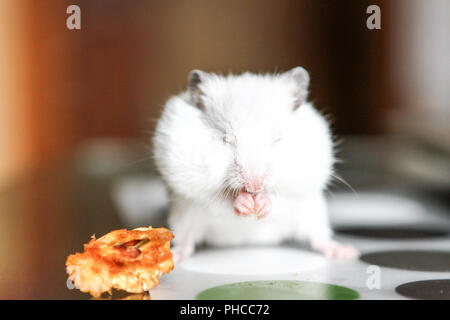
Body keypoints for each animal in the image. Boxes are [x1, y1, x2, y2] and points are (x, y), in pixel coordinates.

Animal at [154, 66, 358, 262]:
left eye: (276, 139)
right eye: (226, 138)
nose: (255, 186)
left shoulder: (298, 187)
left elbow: (280, 197)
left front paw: (260, 206)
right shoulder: (193, 185)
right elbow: (219, 197)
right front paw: (245, 204)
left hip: (313, 213)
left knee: (319, 238)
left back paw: (347, 252)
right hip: (184, 217)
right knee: (186, 241)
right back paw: (174, 256)